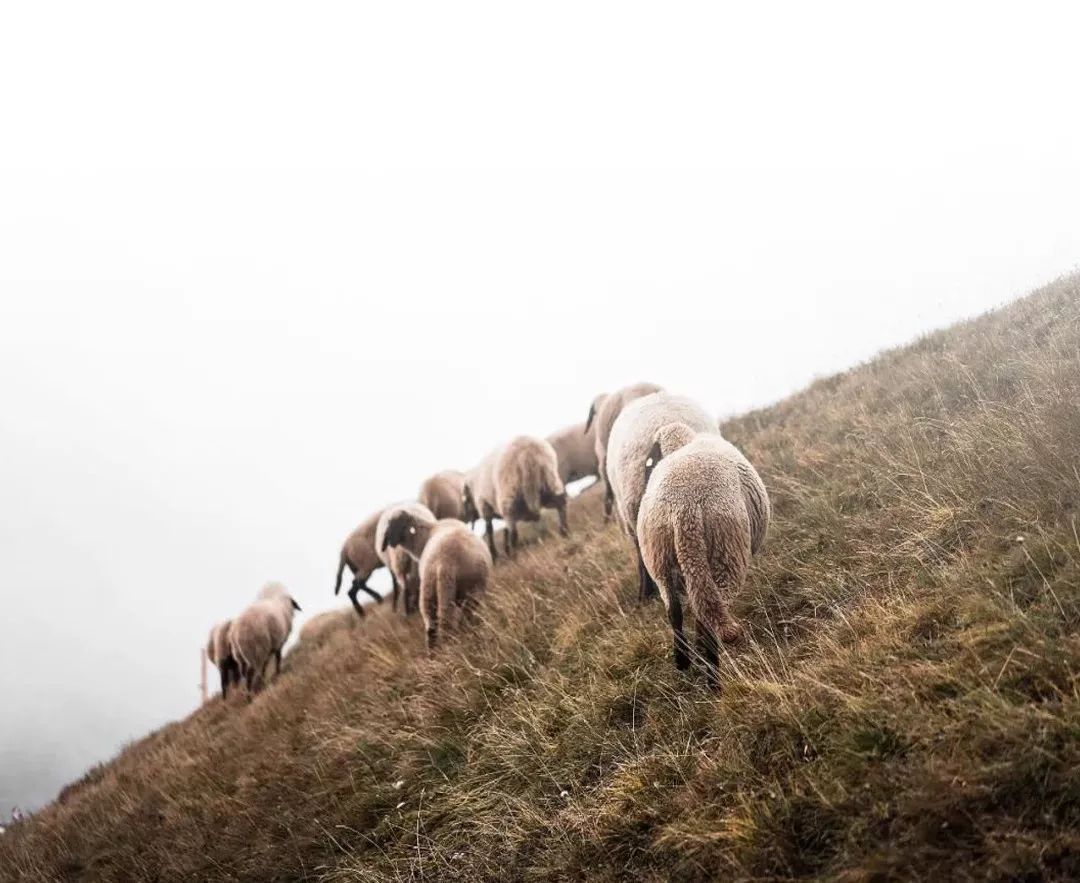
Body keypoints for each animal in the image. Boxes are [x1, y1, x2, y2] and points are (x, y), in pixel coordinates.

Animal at [380, 503, 494, 647]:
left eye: (400, 524)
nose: (388, 543)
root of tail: (443, 563)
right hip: (467, 592)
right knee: (455, 619)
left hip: (429, 590)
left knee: (432, 626)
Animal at [635, 420, 773, 686]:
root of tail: (683, 510)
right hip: (725, 555)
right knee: (708, 617)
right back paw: (713, 681)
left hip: (659, 561)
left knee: (675, 612)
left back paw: (683, 661)